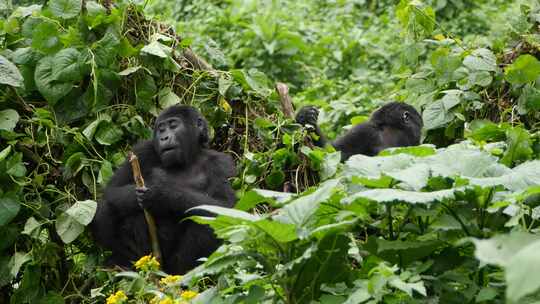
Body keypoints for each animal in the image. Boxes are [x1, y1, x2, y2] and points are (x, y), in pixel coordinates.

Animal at [91, 104, 236, 274]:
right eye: (161, 129)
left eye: (173, 125)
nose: (164, 138)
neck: (189, 158)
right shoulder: (142, 150)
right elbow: (112, 189)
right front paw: (144, 191)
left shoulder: (221, 163)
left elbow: (226, 207)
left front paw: (160, 195)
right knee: (107, 205)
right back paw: (122, 261)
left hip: (172, 265)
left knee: (207, 218)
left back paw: (187, 273)